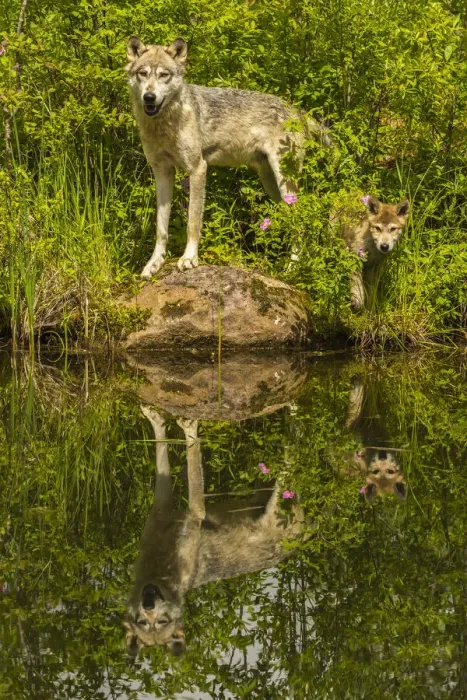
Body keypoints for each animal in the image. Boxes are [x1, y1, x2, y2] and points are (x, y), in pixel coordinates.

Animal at [123, 406, 304, 656]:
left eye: (162, 621)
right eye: (142, 621)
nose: (147, 601)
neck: (160, 571)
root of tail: (309, 534)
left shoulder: (182, 510)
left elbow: (179, 454)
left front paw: (167, 421)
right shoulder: (175, 509)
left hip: (276, 487)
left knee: (294, 443)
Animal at [125, 37, 331, 278]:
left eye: (164, 75)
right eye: (143, 73)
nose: (149, 97)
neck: (164, 124)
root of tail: (298, 111)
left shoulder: (198, 169)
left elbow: (193, 222)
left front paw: (189, 259)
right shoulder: (162, 172)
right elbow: (161, 228)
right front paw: (154, 264)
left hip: (284, 182)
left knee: (300, 224)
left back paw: (292, 268)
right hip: (272, 185)